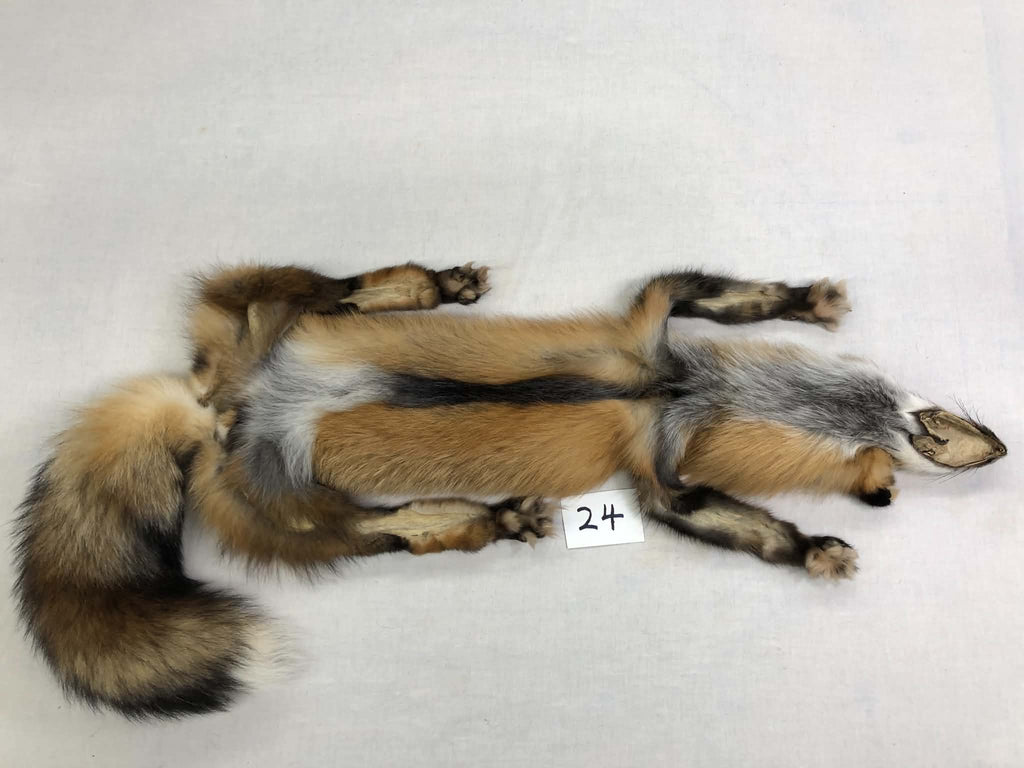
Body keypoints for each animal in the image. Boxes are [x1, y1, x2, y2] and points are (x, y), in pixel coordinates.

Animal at [13, 260, 1006, 719]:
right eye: (920, 441)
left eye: (915, 411)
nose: (993, 447)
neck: (672, 392)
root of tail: (217, 411)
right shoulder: (661, 454)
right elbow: (734, 513)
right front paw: (814, 548)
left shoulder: (653, 340)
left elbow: (721, 295)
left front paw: (806, 302)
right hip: (299, 511)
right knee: (400, 526)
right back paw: (491, 501)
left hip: (267, 326)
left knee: (338, 298)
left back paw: (434, 287)